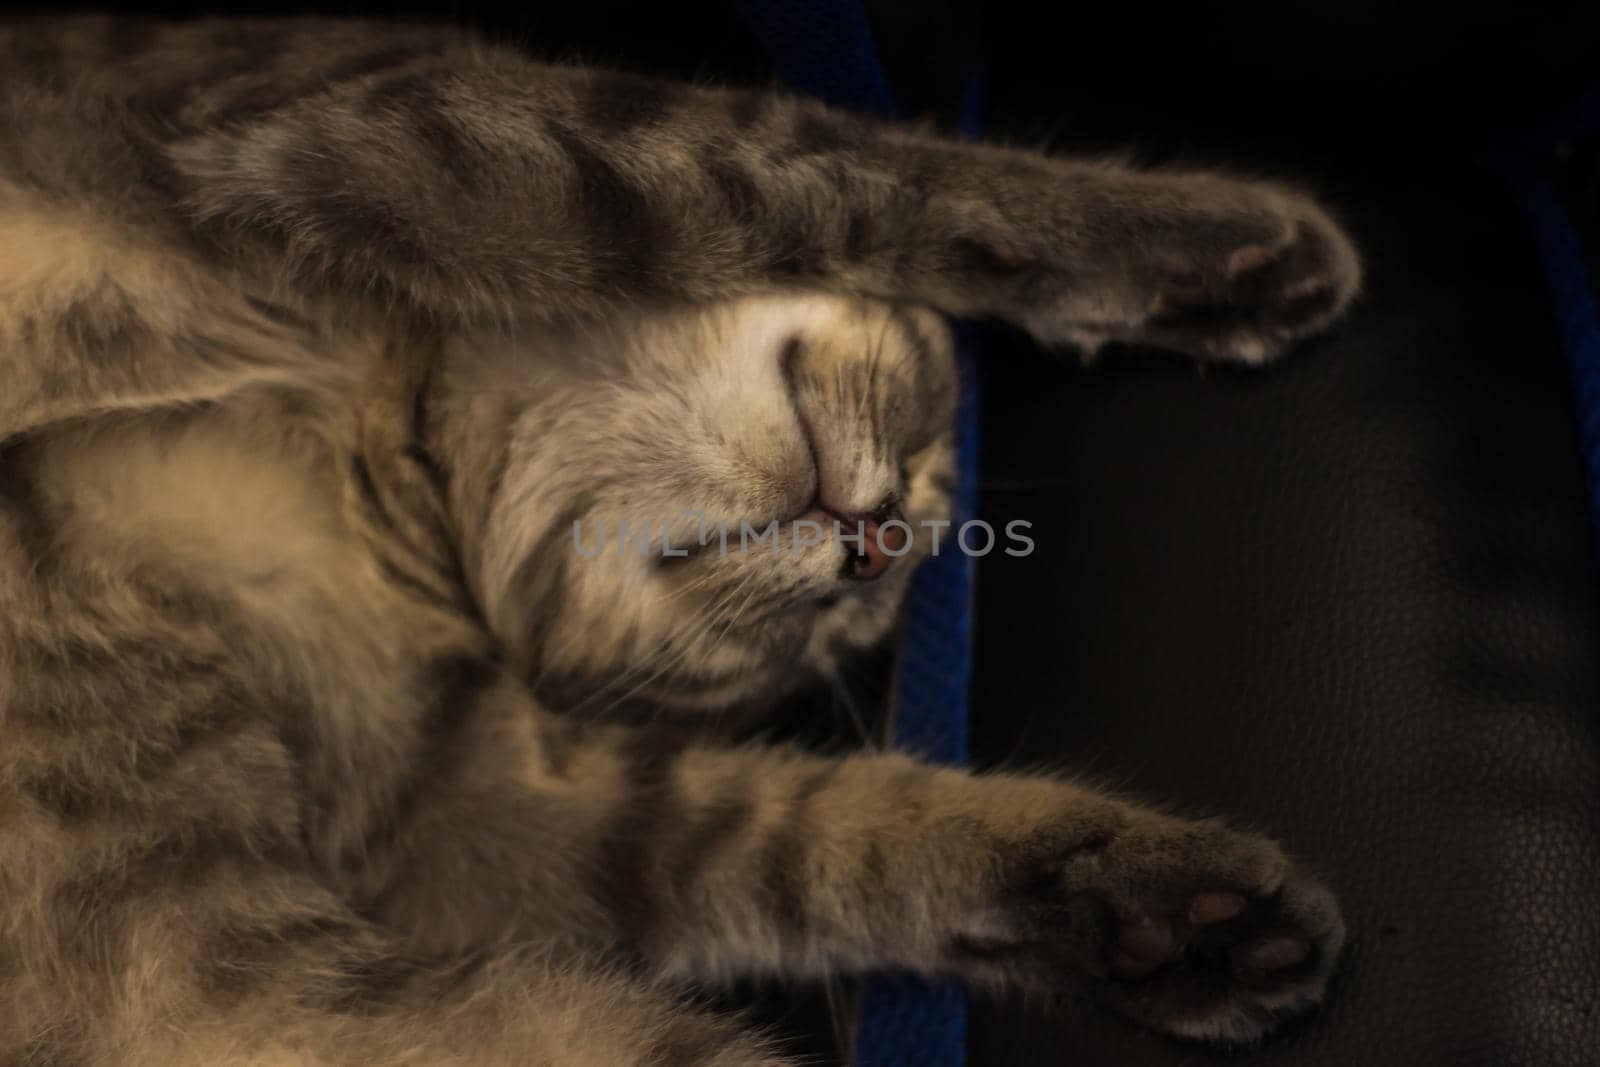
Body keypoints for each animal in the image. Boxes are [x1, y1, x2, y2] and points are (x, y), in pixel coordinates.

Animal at [0, 16, 1363, 1067]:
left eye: (831, 627)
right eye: (927, 421)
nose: (882, 540)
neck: (379, 444)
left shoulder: (471, 813)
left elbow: (832, 830)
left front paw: (1173, 919)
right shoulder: (375, 123)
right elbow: (856, 175)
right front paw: (1229, 254)